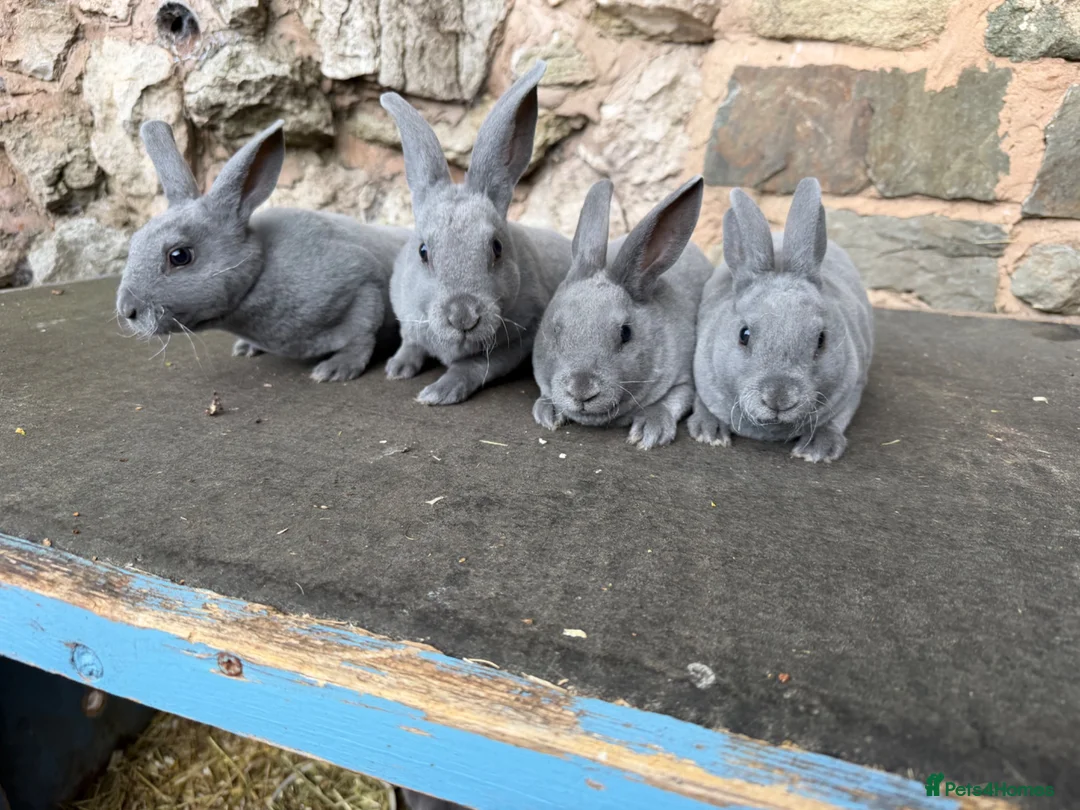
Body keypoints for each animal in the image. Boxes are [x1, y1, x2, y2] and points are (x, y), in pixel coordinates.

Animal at [116, 119, 409, 382]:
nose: (127, 311)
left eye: (179, 256)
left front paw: (336, 370)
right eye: (135, 241)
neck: (259, 271)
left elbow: (361, 335)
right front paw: (245, 348)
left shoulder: (362, 283)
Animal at [379, 60, 573, 405]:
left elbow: (473, 366)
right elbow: (410, 344)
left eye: (497, 248)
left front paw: (437, 393)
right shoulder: (409, 322)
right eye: (423, 252)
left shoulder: (515, 343)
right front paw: (396, 369)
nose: (463, 316)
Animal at [532, 176, 713, 449]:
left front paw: (650, 431)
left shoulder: (684, 381)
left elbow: (672, 401)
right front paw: (547, 413)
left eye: (626, 334)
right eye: (554, 330)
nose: (581, 391)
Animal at [690, 177, 874, 462]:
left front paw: (817, 450)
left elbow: (836, 421)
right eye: (744, 335)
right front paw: (709, 433)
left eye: (821, 340)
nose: (779, 399)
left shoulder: (854, 385)